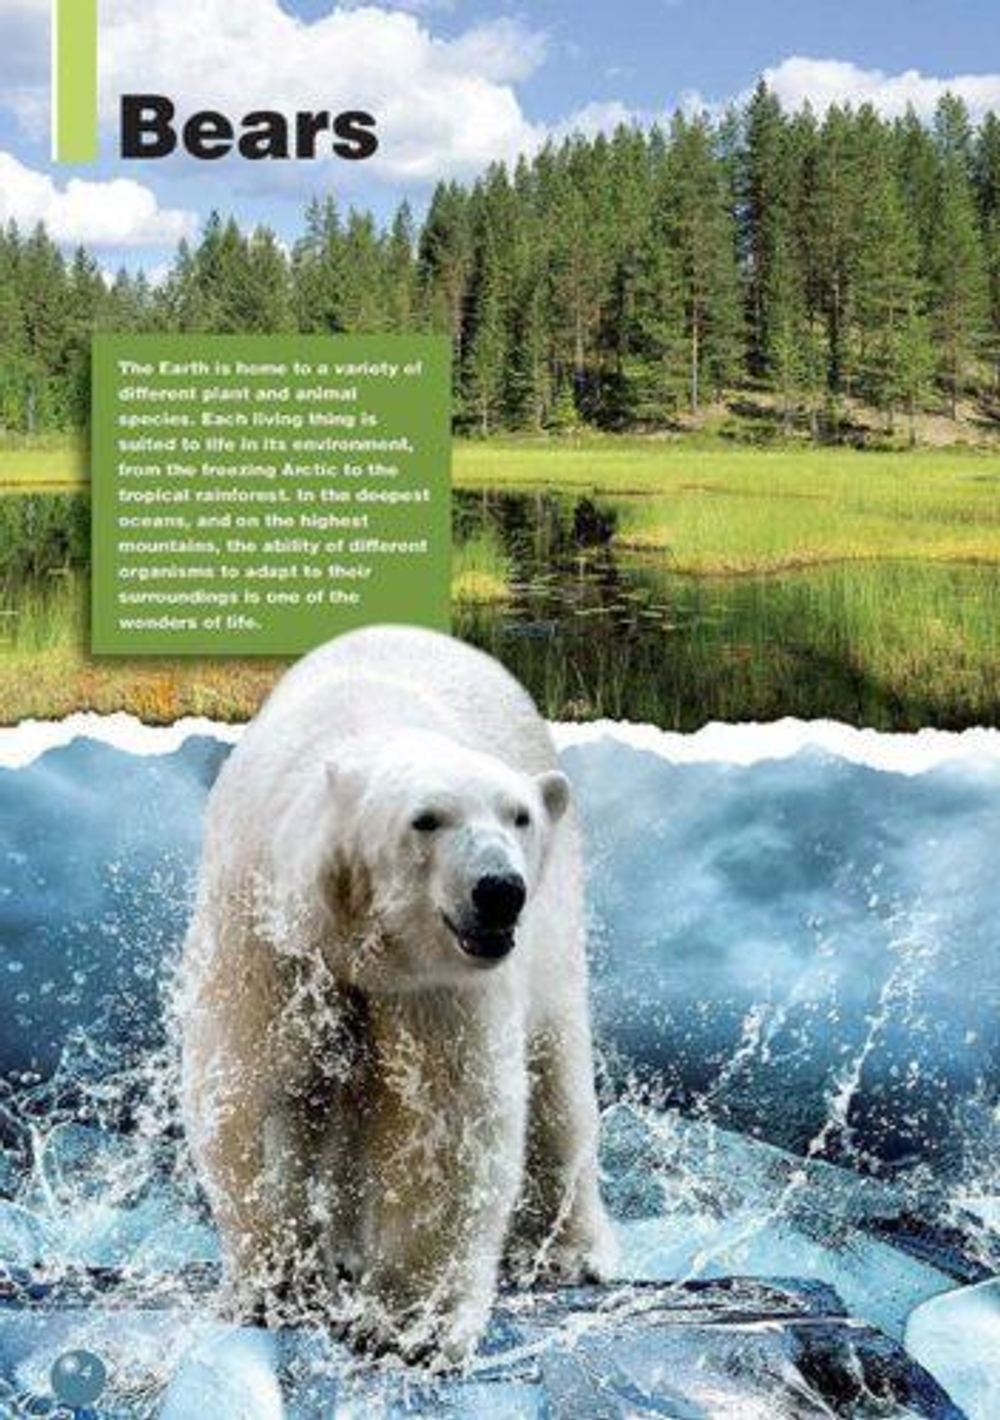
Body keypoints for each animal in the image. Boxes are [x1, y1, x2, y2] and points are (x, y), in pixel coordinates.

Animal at [180, 625, 616, 1364]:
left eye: (519, 816)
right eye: (427, 819)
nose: (499, 890)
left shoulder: (437, 982)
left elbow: (444, 1117)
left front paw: (409, 1322)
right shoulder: (266, 931)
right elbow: (253, 1085)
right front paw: (279, 1284)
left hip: (556, 924)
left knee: (556, 1076)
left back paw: (567, 1250)